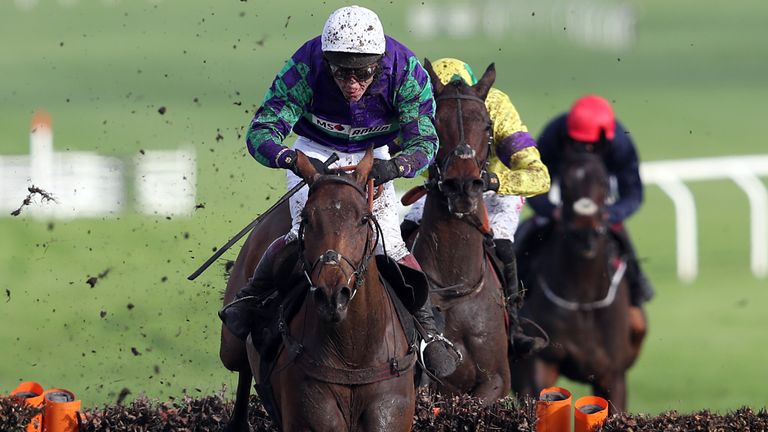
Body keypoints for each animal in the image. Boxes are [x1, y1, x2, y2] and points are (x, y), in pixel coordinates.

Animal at [510, 152, 640, 412]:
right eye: (566, 185)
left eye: (603, 182)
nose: (585, 234)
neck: (583, 297)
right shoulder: (541, 363)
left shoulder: (613, 374)